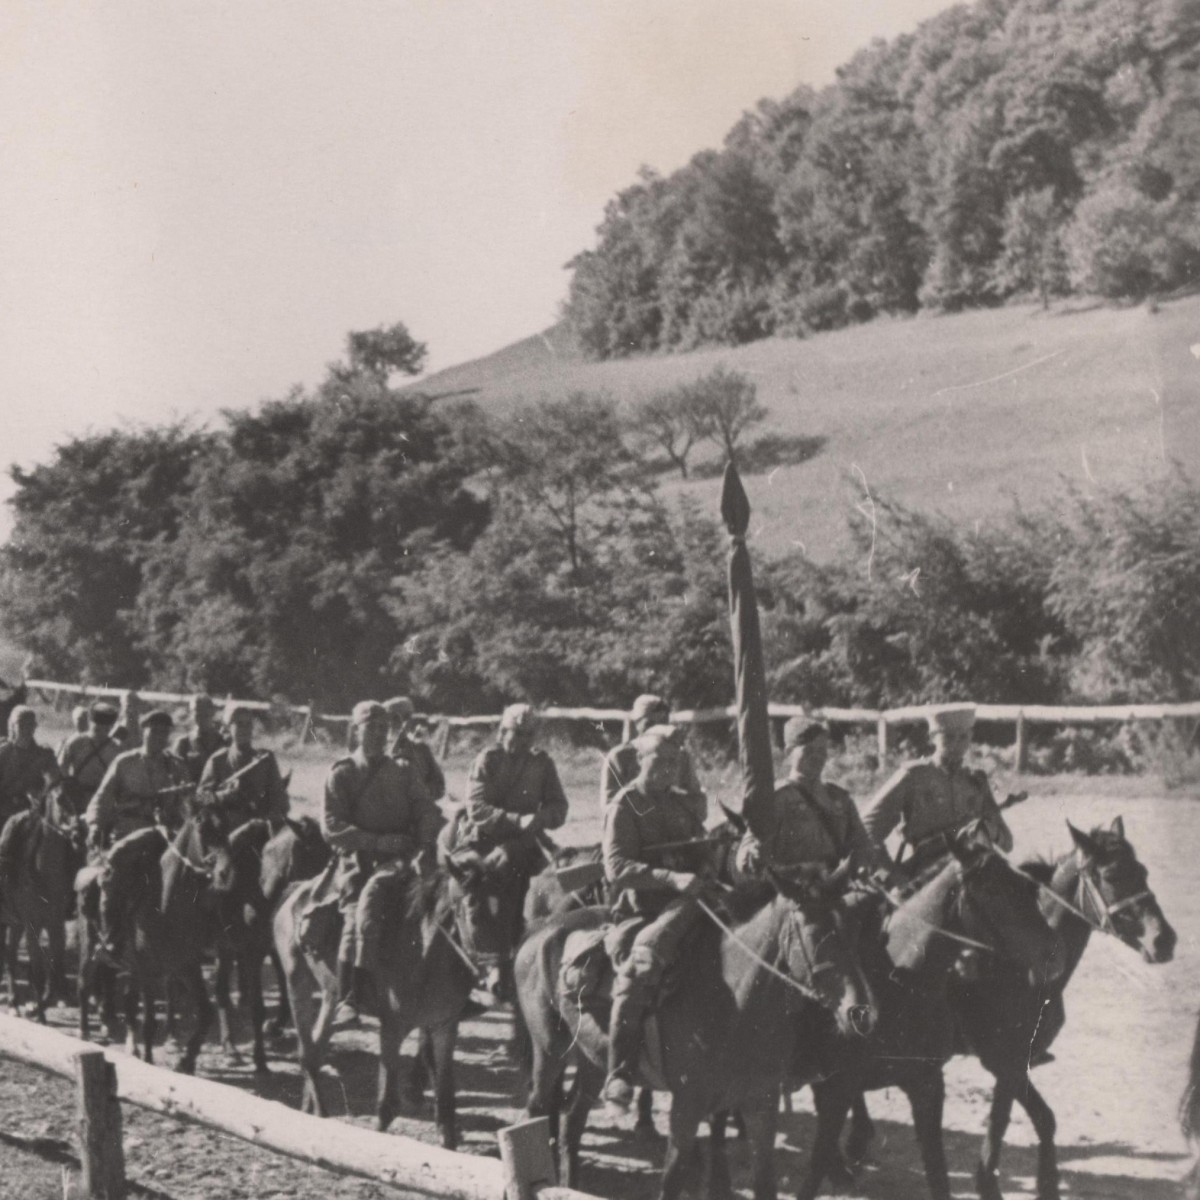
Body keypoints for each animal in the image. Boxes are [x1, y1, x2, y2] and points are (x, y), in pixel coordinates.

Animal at [0, 777, 85, 1022]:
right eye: (60, 799)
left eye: (83, 794)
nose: (79, 833)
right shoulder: (33, 925)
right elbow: (37, 971)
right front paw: (38, 1014)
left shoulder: (55, 924)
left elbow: (55, 968)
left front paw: (38, 1007)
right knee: (7, 957)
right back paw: (13, 1003)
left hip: (15, 923)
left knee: (10, 956)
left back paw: (14, 1002)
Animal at [78, 811, 238, 1075]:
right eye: (202, 828)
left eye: (226, 827)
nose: (226, 873)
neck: (166, 903)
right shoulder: (147, 970)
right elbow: (150, 1021)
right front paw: (150, 1061)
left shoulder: (186, 966)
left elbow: (205, 1012)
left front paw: (186, 1061)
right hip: (90, 950)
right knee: (84, 985)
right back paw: (83, 1033)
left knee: (129, 1003)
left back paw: (132, 1048)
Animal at [274, 849, 508, 1147]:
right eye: (474, 914)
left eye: (507, 912)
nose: (499, 984)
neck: (422, 953)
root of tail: (296, 893)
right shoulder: (392, 1028)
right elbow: (386, 1105)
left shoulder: (444, 1027)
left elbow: (445, 1097)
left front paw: (448, 1142)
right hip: (297, 983)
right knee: (306, 1052)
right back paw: (321, 1114)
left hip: (330, 994)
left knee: (315, 1048)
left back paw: (310, 1110)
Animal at [513, 859, 873, 1195]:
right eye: (814, 933)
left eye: (854, 927)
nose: (860, 1012)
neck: (734, 1001)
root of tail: (540, 930)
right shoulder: (687, 1104)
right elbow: (672, 1179)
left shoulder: (762, 1102)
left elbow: (764, 1182)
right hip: (550, 1052)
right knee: (537, 1110)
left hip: (592, 1061)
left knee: (570, 1121)